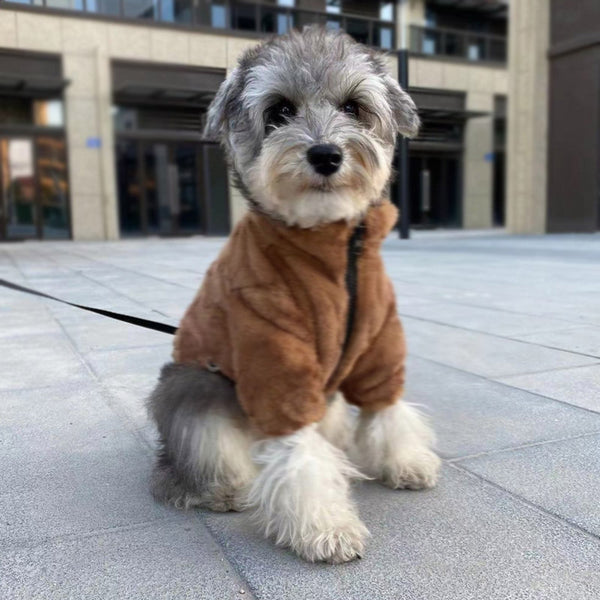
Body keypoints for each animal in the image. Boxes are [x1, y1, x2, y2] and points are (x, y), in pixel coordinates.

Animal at [148, 25, 438, 564]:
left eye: (353, 107)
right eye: (280, 110)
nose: (325, 155)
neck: (332, 243)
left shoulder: (380, 344)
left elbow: (385, 409)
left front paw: (406, 461)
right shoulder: (274, 358)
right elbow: (300, 457)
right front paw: (327, 527)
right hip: (194, 387)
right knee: (201, 455)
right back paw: (223, 489)